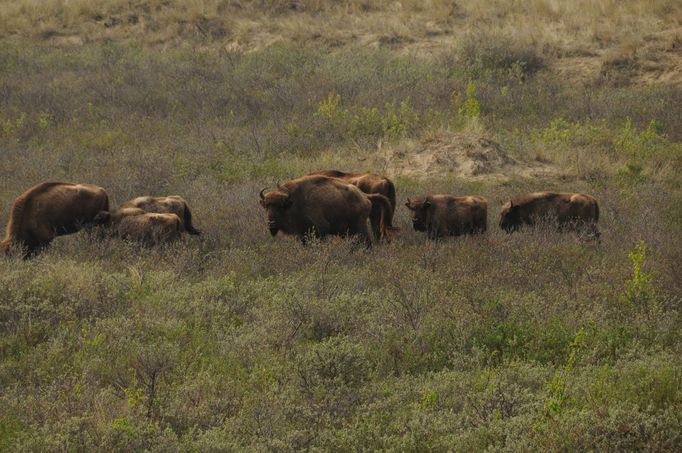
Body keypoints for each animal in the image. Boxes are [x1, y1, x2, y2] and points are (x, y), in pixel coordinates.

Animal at [258, 176, 390, 247]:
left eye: (280, 206)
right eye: (266, 206)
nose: (271, 223)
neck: (293, 202)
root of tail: (364, 196)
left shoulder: (320, 230)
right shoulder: (302, 234)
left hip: (359, 227)